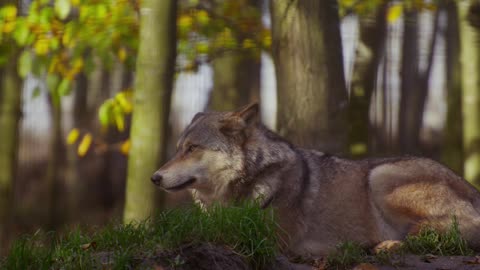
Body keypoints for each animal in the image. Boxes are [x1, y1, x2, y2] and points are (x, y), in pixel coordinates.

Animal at [152, 103, 480, 258]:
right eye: (178, 148)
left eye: (192, 148)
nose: (154, 177)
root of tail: (471, 188)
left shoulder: (266, 237)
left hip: (380, 176)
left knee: (440, 233)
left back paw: (385, 245)